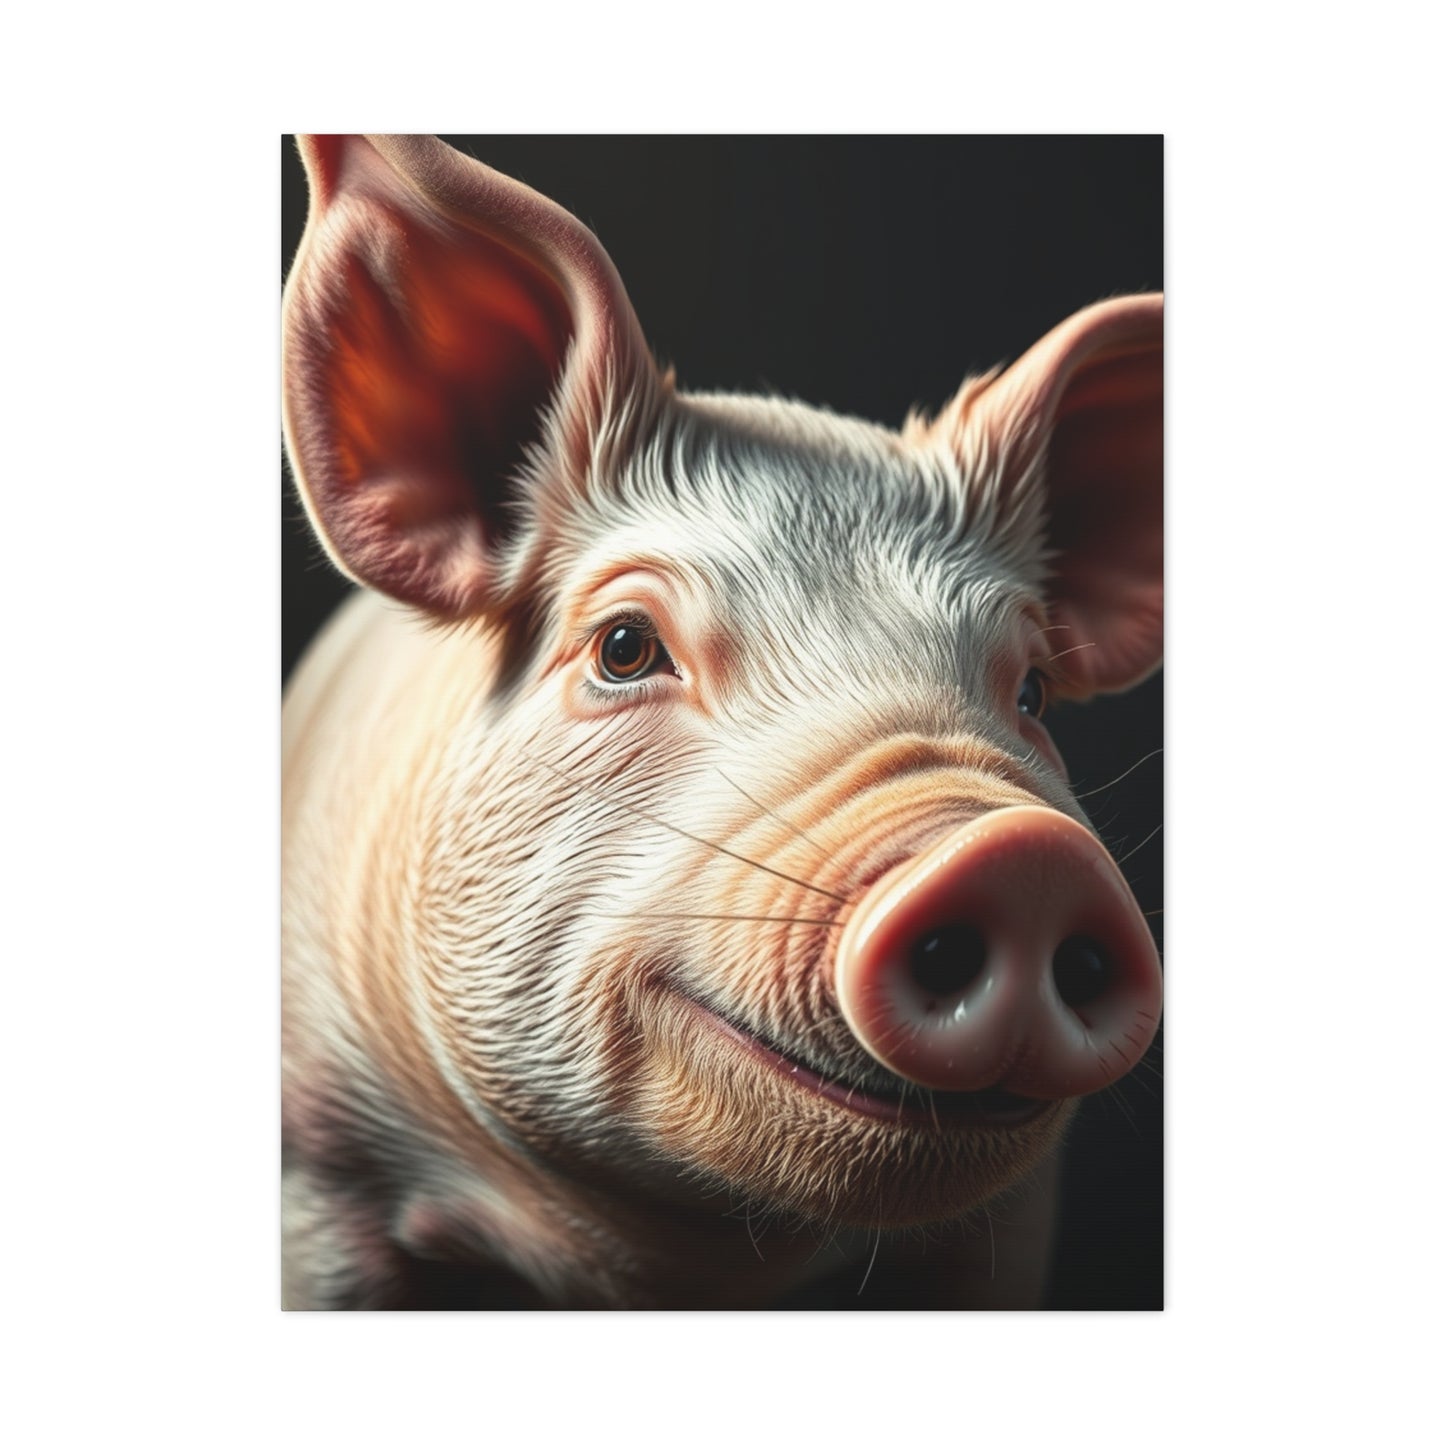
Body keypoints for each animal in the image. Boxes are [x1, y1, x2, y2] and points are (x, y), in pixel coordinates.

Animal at [281, 133, 1163, 1310]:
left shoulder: (1009, 1221)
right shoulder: (316, 1158)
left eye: (1028, 691)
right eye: (623, 646)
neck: (659, 1267)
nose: (1020, 852)